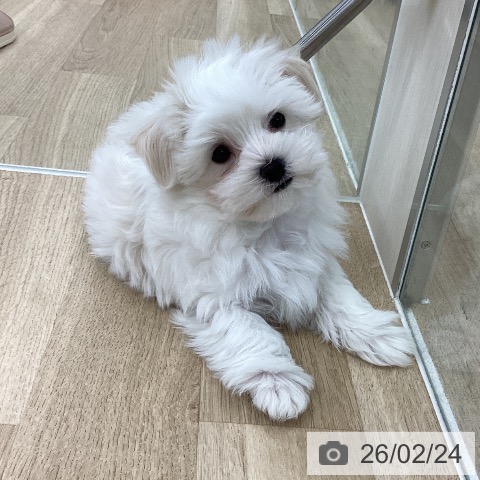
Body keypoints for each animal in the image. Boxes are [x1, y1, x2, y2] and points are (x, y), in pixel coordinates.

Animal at [84, 38, 414, 421]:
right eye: (219, 153)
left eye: (277, 119)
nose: (273, 165)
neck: (266, 225)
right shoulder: (216, 296)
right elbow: (251, 332)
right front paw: (277, 382)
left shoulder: (314, 261)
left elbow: (340, 295)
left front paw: (376, 333)